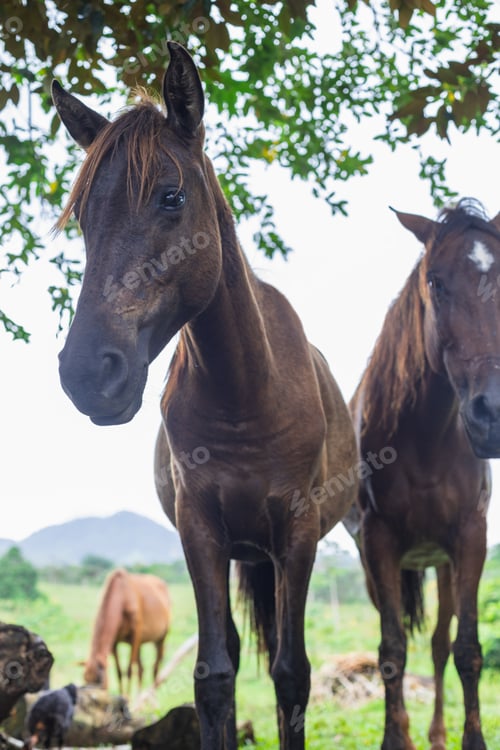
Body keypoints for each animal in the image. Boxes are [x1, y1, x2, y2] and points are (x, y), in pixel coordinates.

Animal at [51, 42, 358, 749]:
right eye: (81, 216)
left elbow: (292, 675)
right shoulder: (201, 531)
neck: (246, 394)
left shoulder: (299, 530)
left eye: (171, 197)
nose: (87, 373)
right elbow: (215, 675)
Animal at [347, 199, 500, 750]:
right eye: (435, 281)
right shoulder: (379, 543)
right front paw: (395, 738)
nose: (493, 412)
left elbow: (467, 648)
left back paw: (436, 734)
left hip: (443, 564)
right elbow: (391, 650)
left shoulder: (470, 539)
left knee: (438, 643)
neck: (427, 440)